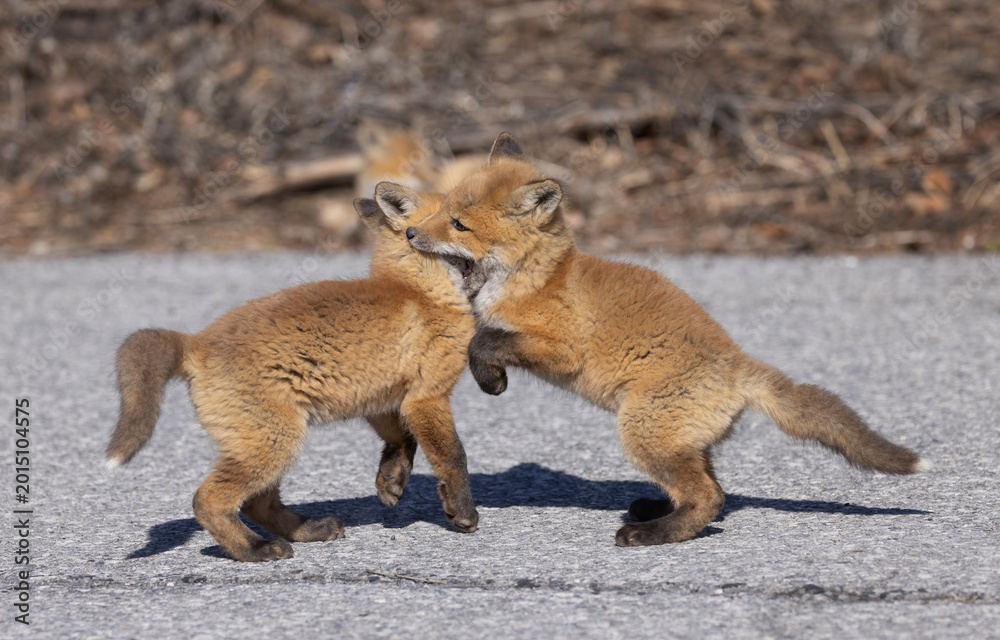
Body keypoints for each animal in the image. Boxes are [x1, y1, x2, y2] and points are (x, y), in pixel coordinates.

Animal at [106, 182, 479, 562]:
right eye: (455, 222)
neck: (420, 291)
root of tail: (196, 341)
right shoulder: (426, 396)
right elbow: (453, 457)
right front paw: (463, 513)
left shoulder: (381, 396)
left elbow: (402, 439)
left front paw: (391, 480)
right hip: (276, 442)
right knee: (208, 501)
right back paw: (255, 548)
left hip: (268, 444)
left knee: (257, 505)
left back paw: (307, 530)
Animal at [405, 132, 928, 547]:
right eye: (443, 210)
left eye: (459, 224)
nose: (410, 232)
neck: (536, 277)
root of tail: (739, 363)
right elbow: (482, 336)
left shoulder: (562, 349)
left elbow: (483, 341)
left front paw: (491, 380)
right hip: (676, 437)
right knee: (714, 492)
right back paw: (656, 511)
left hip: (641, 429)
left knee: (709, 497)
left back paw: (650, 533)